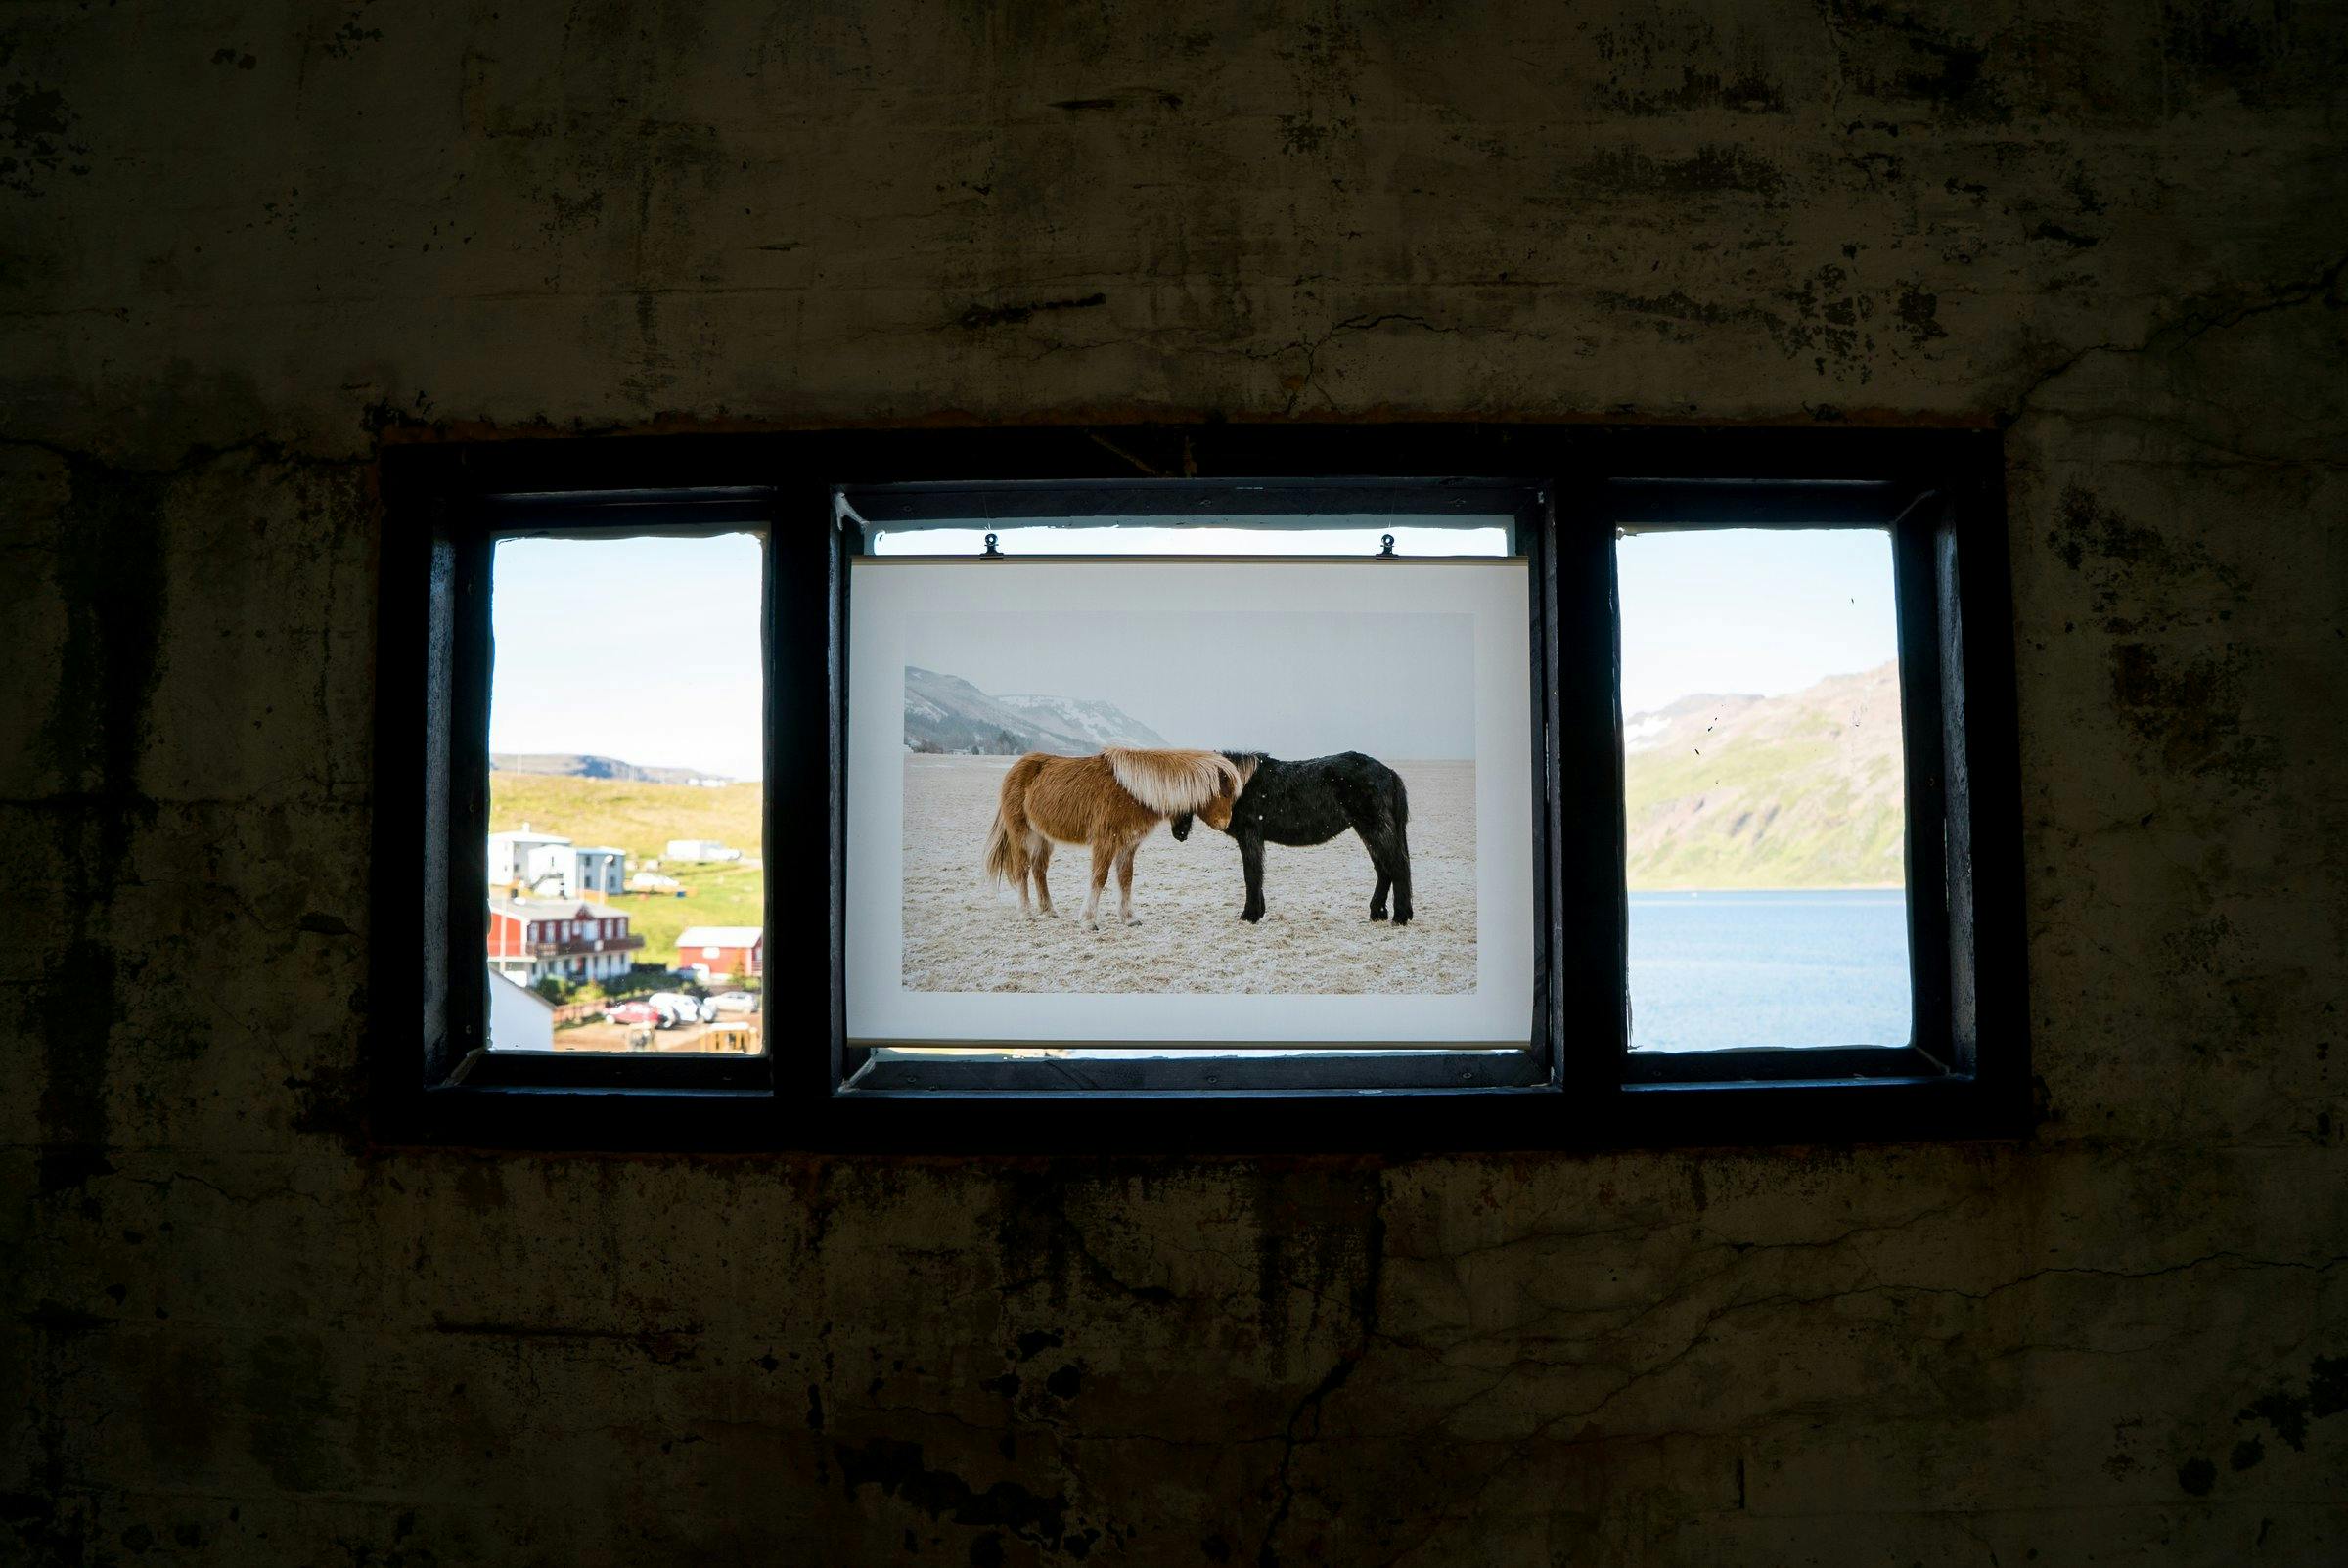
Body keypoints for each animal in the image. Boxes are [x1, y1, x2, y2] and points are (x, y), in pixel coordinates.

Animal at [981, 750, 1248, 929]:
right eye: (1224, 792)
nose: (1225, 823)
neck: (1133, 792)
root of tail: (1017, 767)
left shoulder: (1128, 846)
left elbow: (1126, 879)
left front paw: (1129, 918)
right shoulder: (1105, 842)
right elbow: (1099, 878)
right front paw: (1088, 920)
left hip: (1043, 837)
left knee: (1039, 871)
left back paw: (1048, 911)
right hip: (1022, 835)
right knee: (1022, 870)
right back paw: (1026, 913)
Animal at [1174, 750, 1409, 924]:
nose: (1178, 834)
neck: (1238, 786)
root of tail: (1388, 772)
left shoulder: (1249, 836)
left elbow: (1252, 874)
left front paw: (1249, 915)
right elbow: (1257, 874)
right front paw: (1258, 912)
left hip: (1374, 828)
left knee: (1397, 866)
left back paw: (1401, 916)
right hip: (1368, 831)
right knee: (1384, 870)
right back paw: (1378, 913)